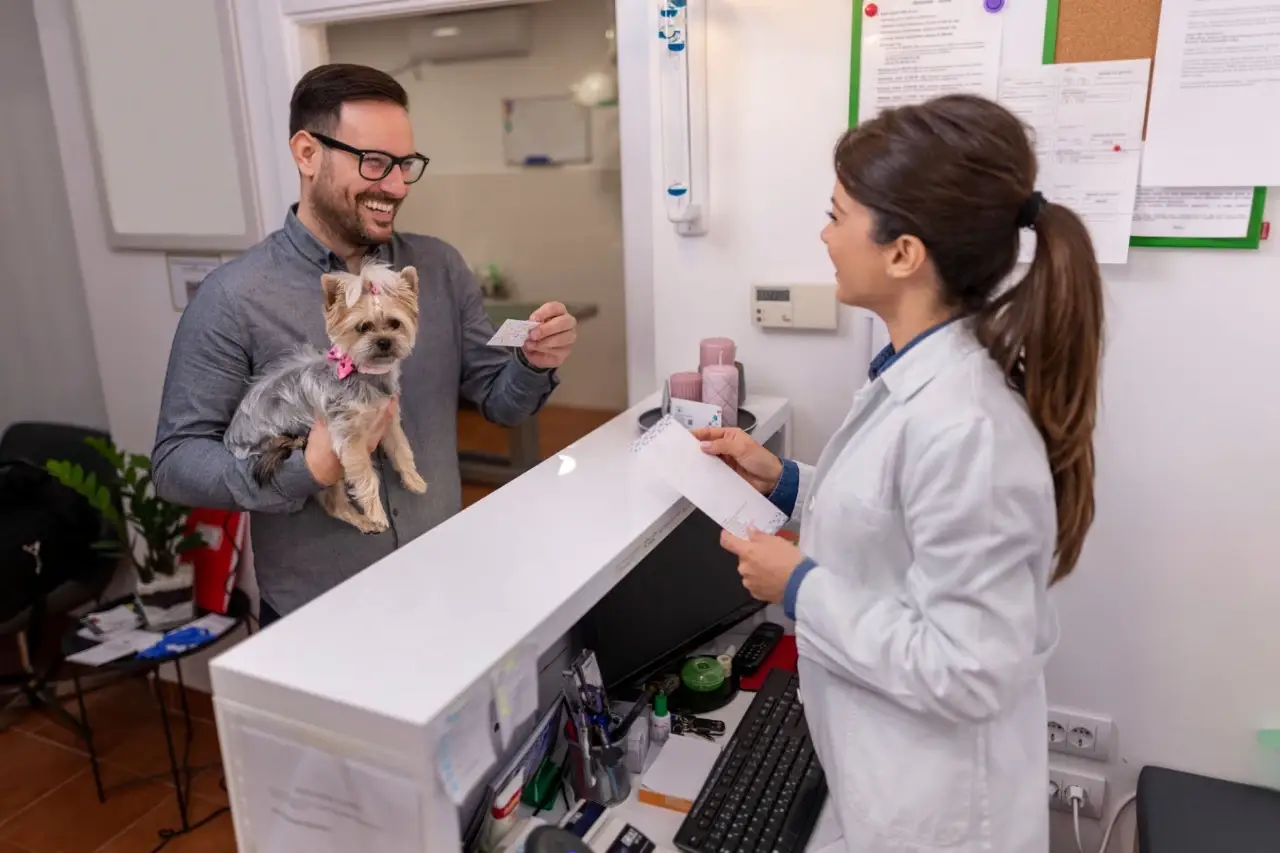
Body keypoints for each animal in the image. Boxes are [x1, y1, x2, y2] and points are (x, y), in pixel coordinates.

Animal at [227, 257, 427, 532]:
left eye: (395, 323)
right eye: (362, 327)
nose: (384, 341)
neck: (363, 374)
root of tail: (230, 438)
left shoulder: (388, 421)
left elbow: (402, 449)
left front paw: (414, 479)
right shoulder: (349, 436)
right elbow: (365, 475)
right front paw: (376, 512)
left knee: (334, 505)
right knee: (335, 502)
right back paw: (366, 520)